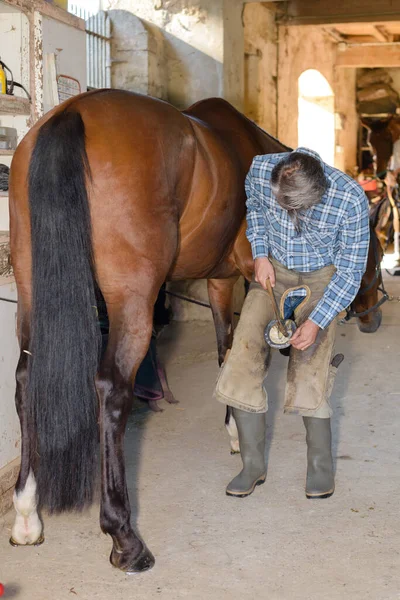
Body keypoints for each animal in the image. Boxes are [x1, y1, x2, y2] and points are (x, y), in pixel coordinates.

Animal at [9, 88, 382, 572]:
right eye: (377, 252)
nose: (374, 316)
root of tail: (74, 112)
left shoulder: (219, 281)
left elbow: (227, 352)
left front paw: (234, 432)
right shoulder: (246, 274)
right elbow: (243, 351)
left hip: (31, 286)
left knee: (25, 383)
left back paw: (26, 514)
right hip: (133, 298)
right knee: (111, 389)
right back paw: (125, 538)